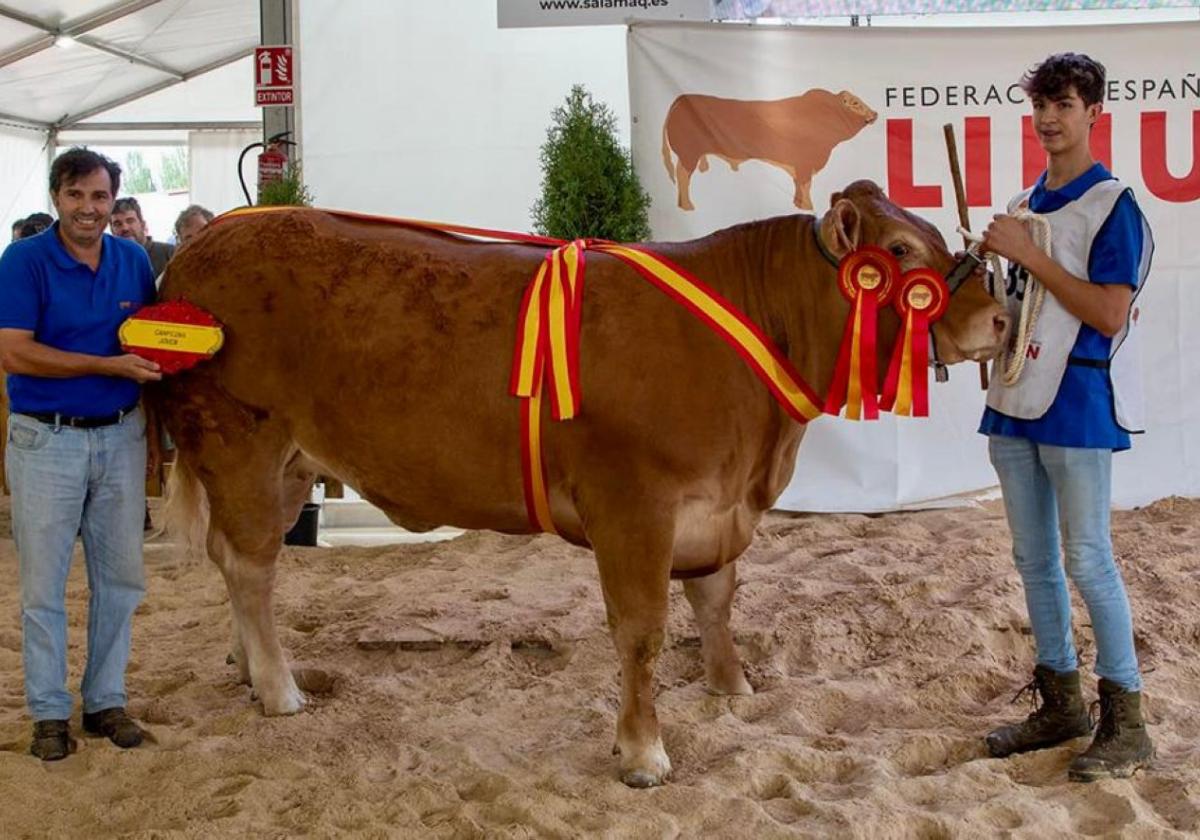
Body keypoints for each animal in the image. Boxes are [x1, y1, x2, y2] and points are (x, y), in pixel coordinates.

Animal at [154, 178, 1008, 787]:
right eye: (900, 250)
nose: (999, 319)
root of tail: (206, 243)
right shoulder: (636, 506)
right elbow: (642, 631)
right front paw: (643, 753)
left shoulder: (718, 505)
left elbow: (717, 602)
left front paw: (732, 687)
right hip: (243, 443)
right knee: (251, 565)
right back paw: (278, 687)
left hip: (292, 466)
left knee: (236, 562)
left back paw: (246, 669)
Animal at [662, 88, 878, 211]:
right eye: (855, 103)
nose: (875, 113)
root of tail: (680, 100)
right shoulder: (805, 163)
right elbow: (805, 185)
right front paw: (808, 207)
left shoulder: (798, 165)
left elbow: (798, 185)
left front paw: (798, 204)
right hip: (688, 154)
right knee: (683, 176)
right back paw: (687, 206)